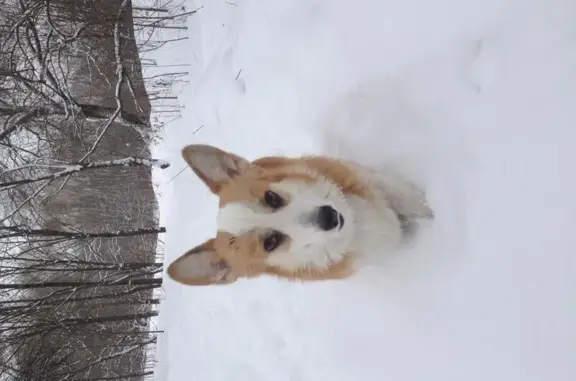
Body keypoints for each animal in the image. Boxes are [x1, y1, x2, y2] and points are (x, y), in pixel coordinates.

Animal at [165, 144, 432, 284]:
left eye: (271, 198)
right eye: (271, 242)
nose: (328, 217)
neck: (356, 223)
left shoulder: (367, 178)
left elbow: (401, 194)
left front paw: (425, 209)